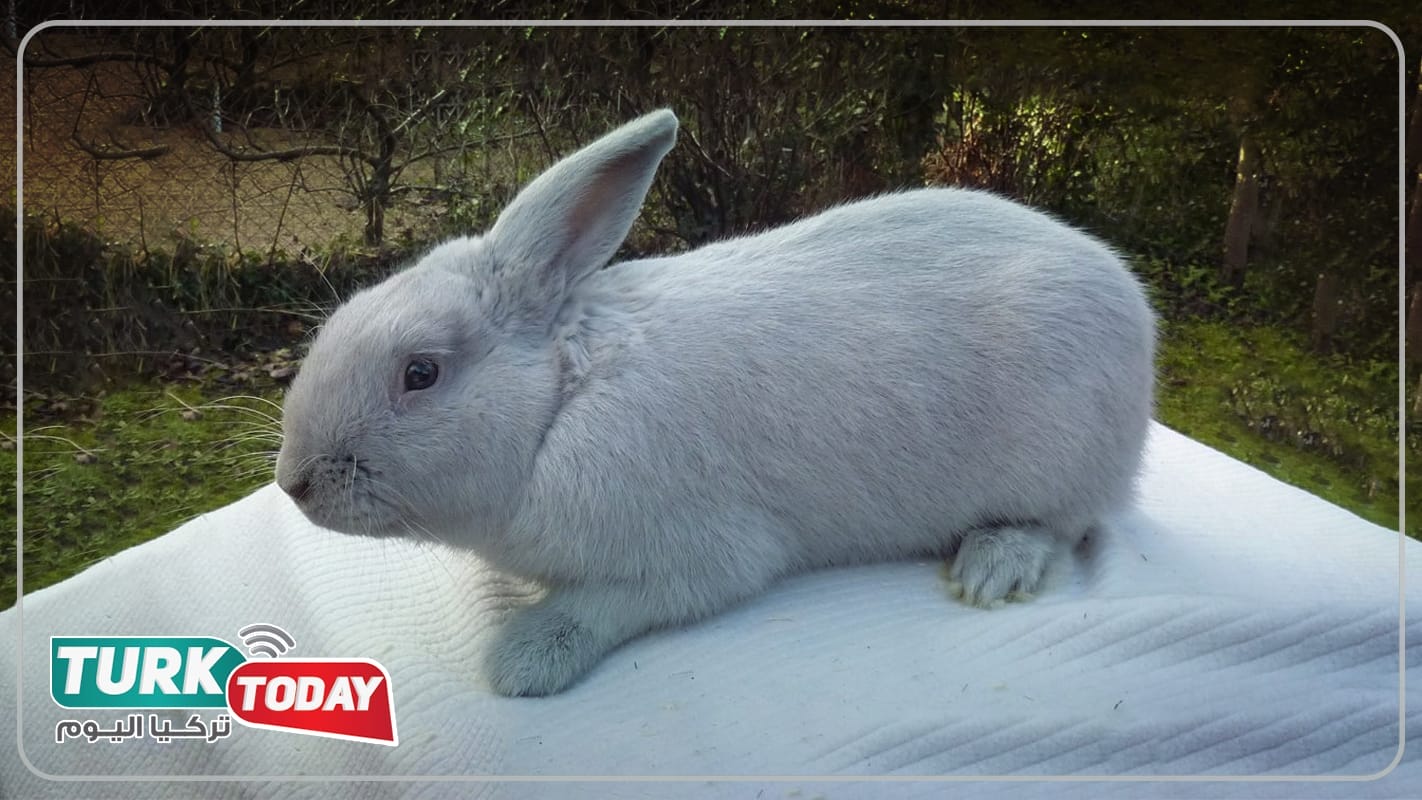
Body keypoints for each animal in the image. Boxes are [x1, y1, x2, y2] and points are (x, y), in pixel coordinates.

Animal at [275, 109, 1156, 697]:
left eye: (421, 373)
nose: (293, 482)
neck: (558, 405)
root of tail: (1132, 309)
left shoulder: (702, 559)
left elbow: (608, 604)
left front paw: (523, 659)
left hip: (1061, 461)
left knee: (1064, 523)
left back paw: (992, 567)